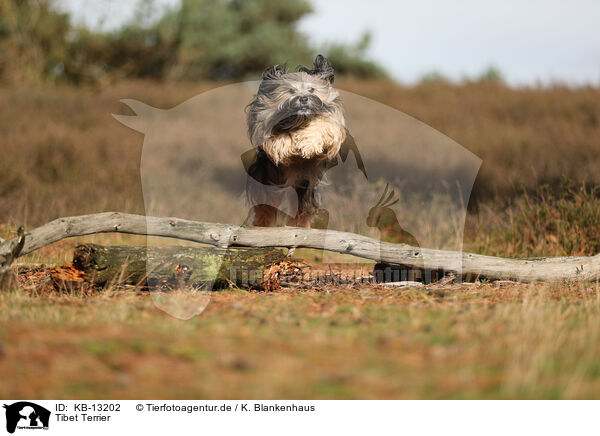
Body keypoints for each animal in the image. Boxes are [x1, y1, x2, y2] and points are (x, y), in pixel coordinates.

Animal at [244, 54, 366, 228]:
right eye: (291, 91)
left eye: (312, 89)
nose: (303, 99)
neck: (300, 120)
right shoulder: (263, 121)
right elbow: (275, 138)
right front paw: (286, 146)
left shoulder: (333, 126)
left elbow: (323, 126)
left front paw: (308, 144)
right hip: (266, 180)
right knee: (265, 207)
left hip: (306, 188)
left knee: (301, 210)